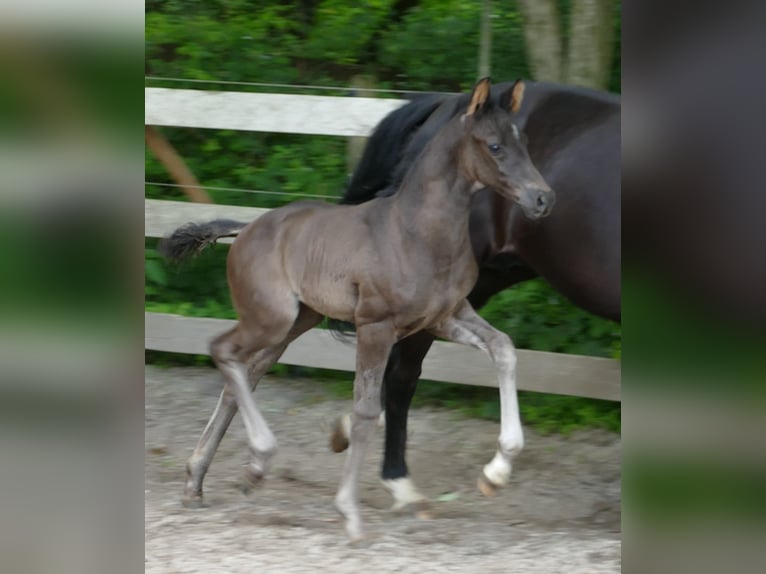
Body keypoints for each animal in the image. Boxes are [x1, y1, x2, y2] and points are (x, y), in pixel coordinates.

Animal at [162, 77, 556, 544]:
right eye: (494, 145)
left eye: (524, 141)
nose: (542, 198)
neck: (417, 233)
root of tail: (245, 229)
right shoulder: (376, 327)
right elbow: (366, 410)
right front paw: (348, 510)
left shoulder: (447, 316)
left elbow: (504, 348)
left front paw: (500, 466)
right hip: (269, 319)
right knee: (222, 351)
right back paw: (254, 460)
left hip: (293, 324)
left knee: (241, 377)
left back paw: (202, 480)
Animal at [332, 79, 624, 510]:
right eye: (495, 146)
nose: (544, 199)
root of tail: (450, 102)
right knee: (403, 374)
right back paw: (398, 477)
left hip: (486, 277)